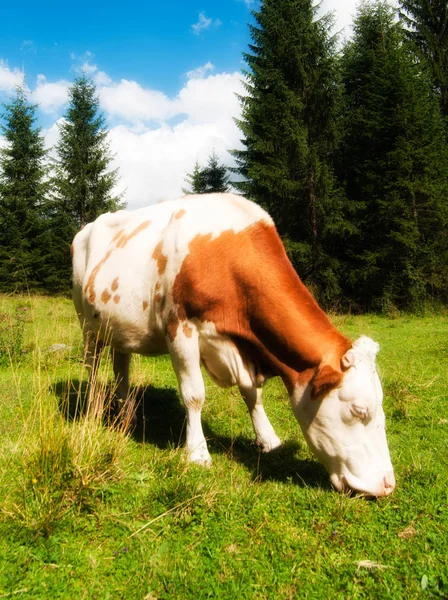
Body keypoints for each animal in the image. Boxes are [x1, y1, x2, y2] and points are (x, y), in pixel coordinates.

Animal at [71, 192, 396, 496]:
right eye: (359, 410)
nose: (387, 484)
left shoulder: (241, 349)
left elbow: (252, 394)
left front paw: (268, 439)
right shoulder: (180, 328)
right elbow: (194, 395)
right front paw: (197, 452)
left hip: (119, 327)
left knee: (121, 366)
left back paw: (126, 414)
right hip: (86, 324)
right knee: (92, 367)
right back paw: (94, 410)